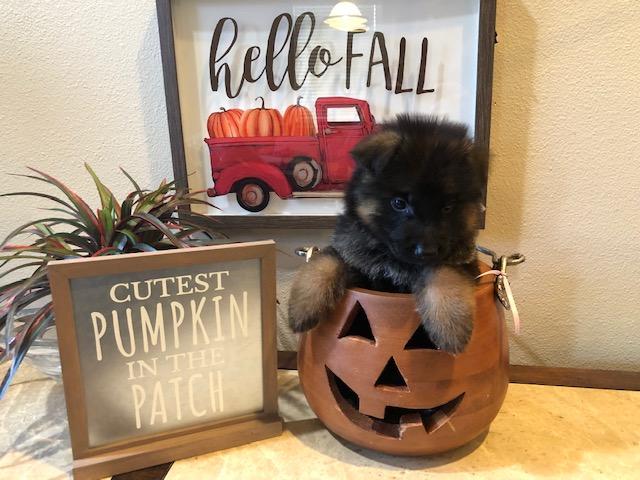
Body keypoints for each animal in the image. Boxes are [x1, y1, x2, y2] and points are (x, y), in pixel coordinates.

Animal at [288, 114, 488, 354]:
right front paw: (302, 307)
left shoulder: (462, 261)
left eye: (447, 207)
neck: (394, 260)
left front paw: (450, 326)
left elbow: (445, 272)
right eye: (399, 204)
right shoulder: (355, 258)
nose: (426, 251)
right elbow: (326, 261)